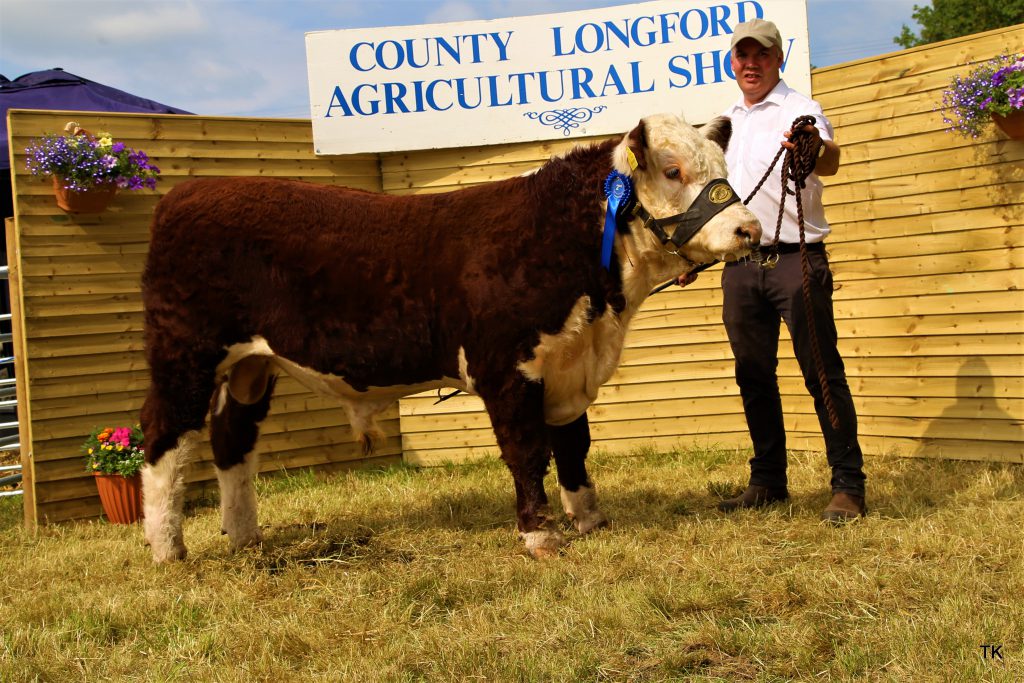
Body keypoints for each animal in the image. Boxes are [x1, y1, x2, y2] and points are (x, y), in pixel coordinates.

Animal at [139, 113, 761, 563]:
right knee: (165, 437)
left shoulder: (566, 361)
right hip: (184, 353)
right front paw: (541, 537)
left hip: (250, 366)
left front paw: (590, 520)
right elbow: (527, 451)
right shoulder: (507, 368)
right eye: (673, 171)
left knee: (233, 439)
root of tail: (184, 196)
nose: (749, 229)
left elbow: (573, 446)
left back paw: (246, 538)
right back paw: (168, 550)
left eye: (722, 167)